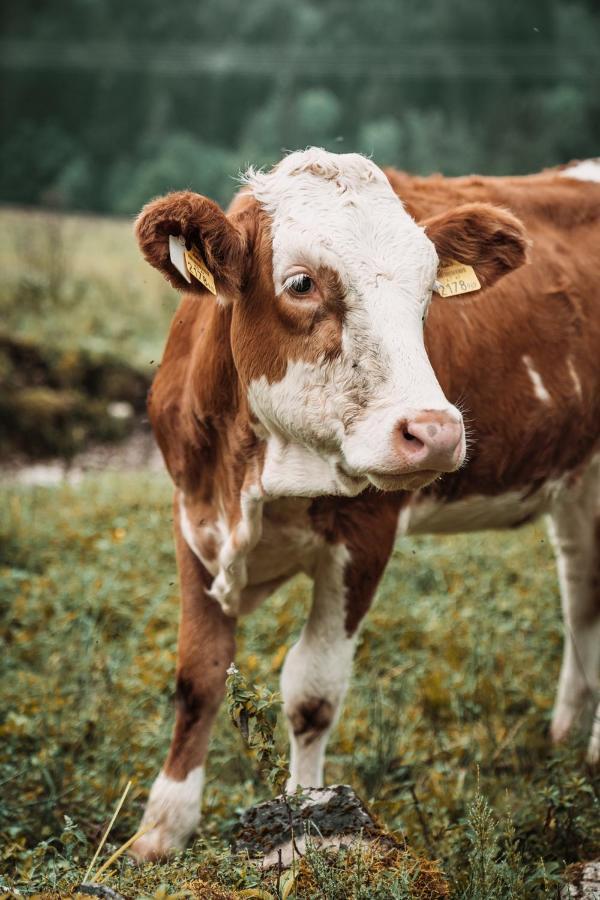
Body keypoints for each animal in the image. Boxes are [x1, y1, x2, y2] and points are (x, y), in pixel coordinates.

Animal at [130, 151, 600, 860]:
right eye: (300, 283)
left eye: (429, 290)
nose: (435, 431)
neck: (256, 477)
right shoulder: (193, 514)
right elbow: (198, 676)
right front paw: (160, 831)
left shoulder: (368, 533)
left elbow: (311, 692)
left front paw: (303, 821)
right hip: (578, 484)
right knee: (582, 593)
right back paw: (568, 733)